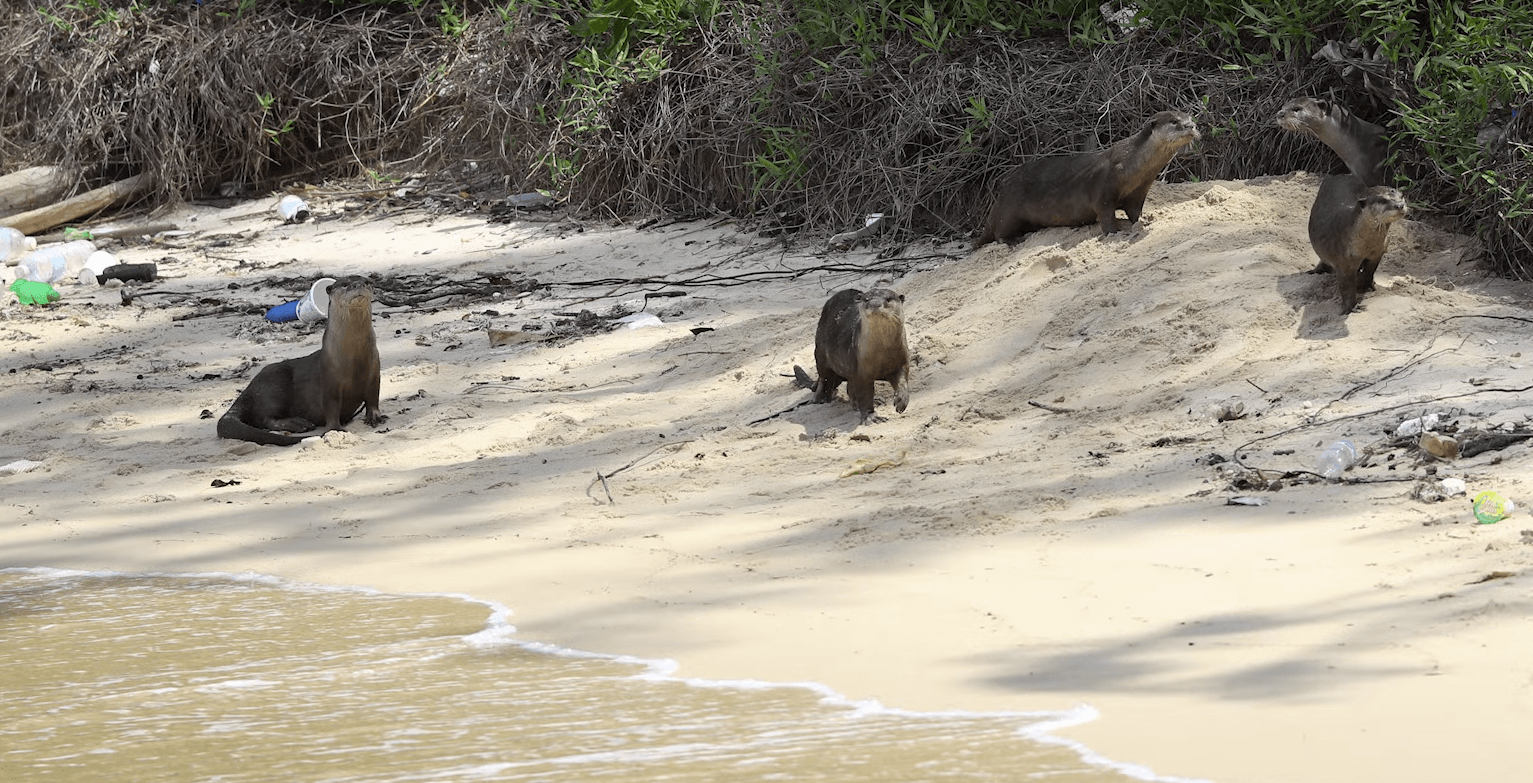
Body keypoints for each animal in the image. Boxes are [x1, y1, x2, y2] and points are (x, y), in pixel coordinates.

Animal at [218, 277, 386, 446]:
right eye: (345, 284)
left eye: (366, 282)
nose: (358, 285)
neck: (353, 358)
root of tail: (247, 393)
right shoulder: (328, 379)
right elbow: (331, 406)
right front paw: (334, 429)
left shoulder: (374, 371)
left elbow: (373, 397)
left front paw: (375, 416)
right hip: (273, 385)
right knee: (266, 418)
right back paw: (297, 423)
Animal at [792, 288, 910, 424]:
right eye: (866, 299)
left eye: (888, 299)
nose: (874, 304)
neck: (881, 353)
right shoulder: (859, 369)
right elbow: (864, 394)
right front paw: (870, 416)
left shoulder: (902, 360)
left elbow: (902, 381)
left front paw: (901, 401)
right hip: (820, 353)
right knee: (825, 378)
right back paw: (821, 398)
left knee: (850, 388)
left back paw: (875, 400)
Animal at [974, 110, 1201, 248]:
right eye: (1174, 122)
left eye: (1191, 118)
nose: (1191, 126)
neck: (1129, 165)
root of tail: (999, 197)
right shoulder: (1103, 191)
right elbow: (1106, 215)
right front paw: (1114, 233)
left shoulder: (1138, 192)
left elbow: (1135, 213)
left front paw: (1144, 221)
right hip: (1010, 209)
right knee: (999, 232)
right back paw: (1013, 240)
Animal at [1308, 176, 1408, 313]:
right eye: (1383, 200)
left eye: (1402, 196)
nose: (1400, 205)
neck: (1366, 246)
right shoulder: (1344, 261)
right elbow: (1346, 286)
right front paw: (1352, 307)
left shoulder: (1377, 253)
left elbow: (1369, 271)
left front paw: (1364, 285)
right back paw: (1316, 271)